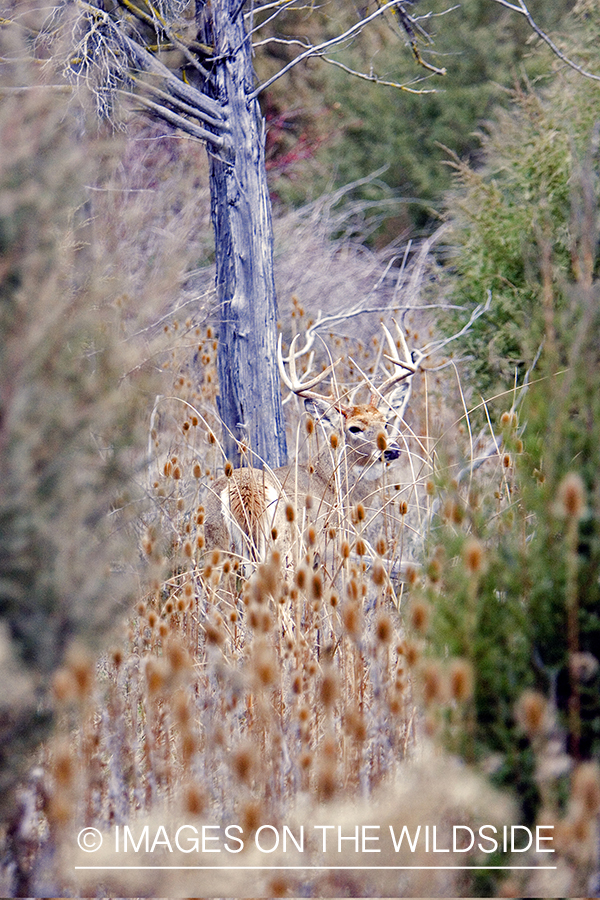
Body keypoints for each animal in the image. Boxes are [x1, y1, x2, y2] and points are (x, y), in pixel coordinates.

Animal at [204, 324, 420, 568]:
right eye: (354, 428)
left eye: (385, 422)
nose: (392, 449)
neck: (331, 485)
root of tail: (242, 490)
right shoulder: (329, 550)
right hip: (282, 547)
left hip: (216, 545)